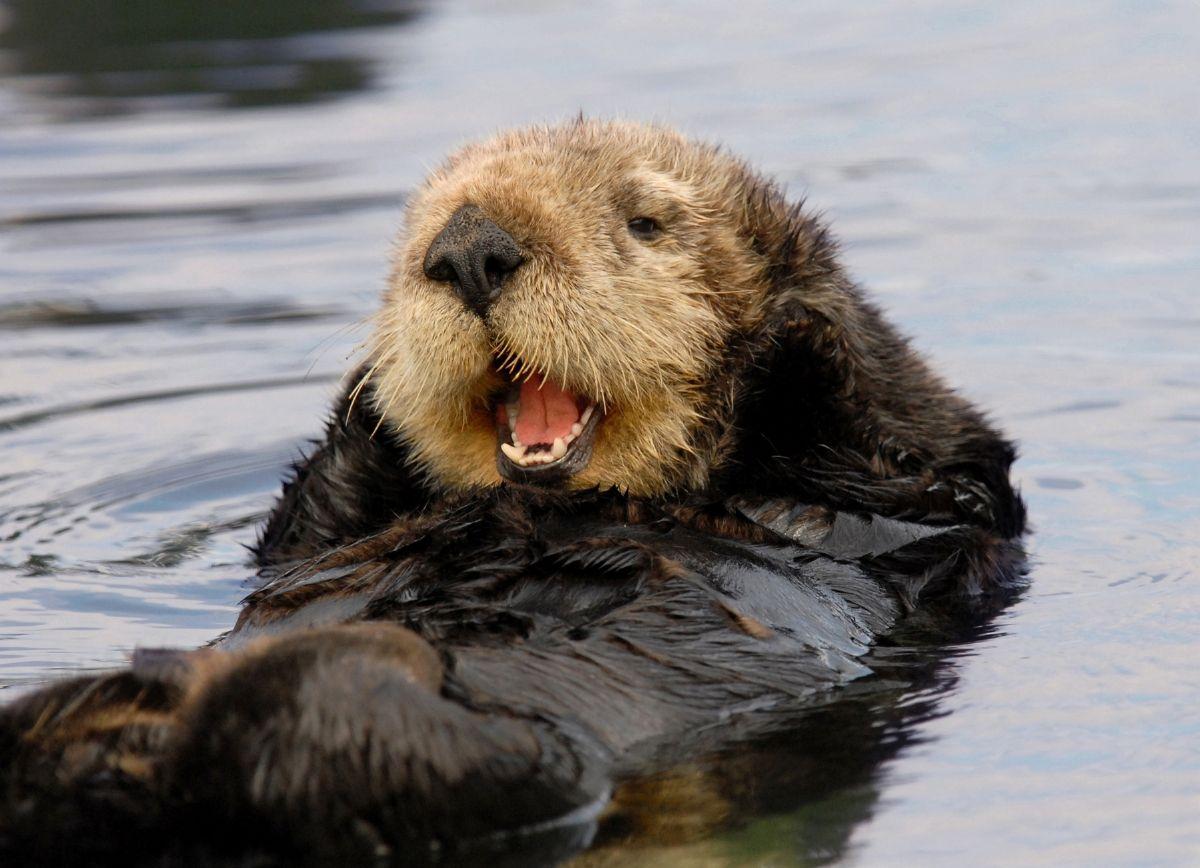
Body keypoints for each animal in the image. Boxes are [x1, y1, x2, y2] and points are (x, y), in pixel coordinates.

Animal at [0, 120, 1025, 866]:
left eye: (646, 222)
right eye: (420, 225)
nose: (467, 248)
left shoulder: (927, 496)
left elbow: (906, 472)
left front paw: (784, 331)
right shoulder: (307, 540)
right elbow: (299, 531)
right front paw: (373, 392)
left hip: (467, 757)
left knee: (309, 727)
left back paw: (219, 677)